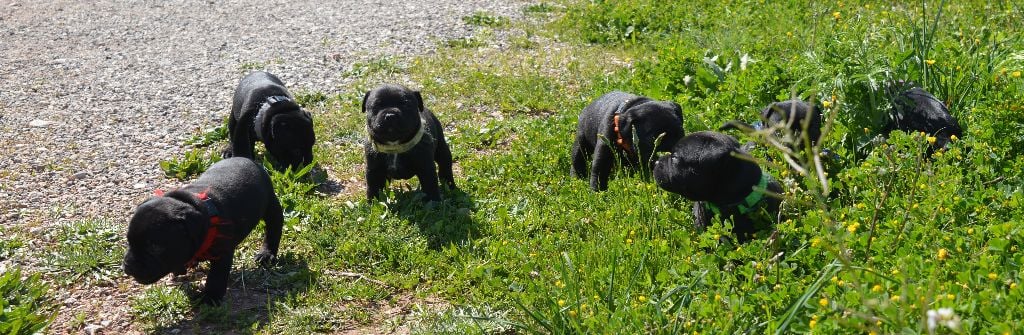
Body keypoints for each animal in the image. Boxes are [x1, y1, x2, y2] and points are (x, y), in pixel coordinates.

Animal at [123, 157, 284, 305]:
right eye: (129, 242)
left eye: (154, 247)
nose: (128, 266)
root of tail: (245, 157)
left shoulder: (222, 253)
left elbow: (215, 277)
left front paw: (209, 298)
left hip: (271, 206)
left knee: (274, 228)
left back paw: (266, 254)